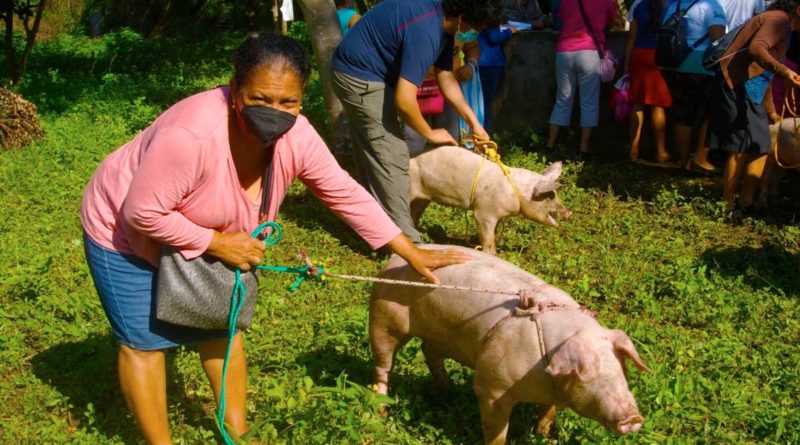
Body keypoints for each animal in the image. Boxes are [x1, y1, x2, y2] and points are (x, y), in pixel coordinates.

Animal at [368, 245, 648, 442]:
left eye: (621, 371)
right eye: (586, 373)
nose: (634, 417)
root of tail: (391, 263)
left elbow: (548, 412)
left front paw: (545, 437)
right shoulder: (492, 387)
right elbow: (496, 430)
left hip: (439, 332)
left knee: (429, 351)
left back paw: (448, 391)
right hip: (383, 318)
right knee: (383, 366)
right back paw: (381, 410)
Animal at [410, 146, 572, 253]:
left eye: (555, 195)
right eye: (548, 197)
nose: (569, 213)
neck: (516, 194)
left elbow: (494, 236)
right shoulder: (483, 213)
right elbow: (487, 240)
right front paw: (491, 255)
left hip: (424, 199)